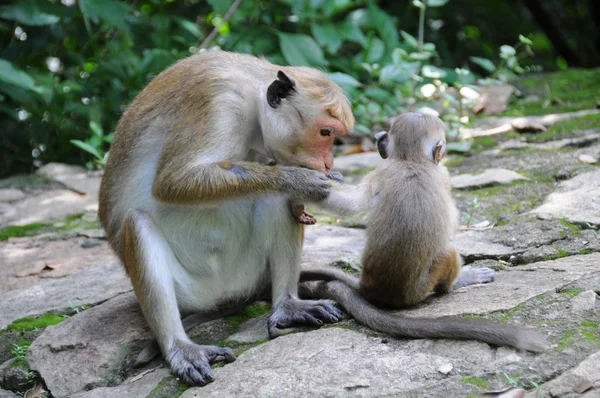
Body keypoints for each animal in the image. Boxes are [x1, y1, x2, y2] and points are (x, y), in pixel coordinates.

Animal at [98, 50, 354, 386]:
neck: (252, 97)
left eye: (334, 136)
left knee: (274, 197)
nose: (328, 163)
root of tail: (223, 297)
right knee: (138, 224)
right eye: (325, 132)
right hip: (190, 292)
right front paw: (299, 180)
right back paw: (179, 347)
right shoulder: (218, 101)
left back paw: (287, 306)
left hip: (247, 272)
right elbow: (172, 182)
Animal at [300, 112, 548, 352]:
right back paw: (456, 283)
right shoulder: (442, 174)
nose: (378, 137)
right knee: (448, 253)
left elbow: (349, 202)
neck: (412, 161)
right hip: (426, 283)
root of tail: (372, 288)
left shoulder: (381, 171)